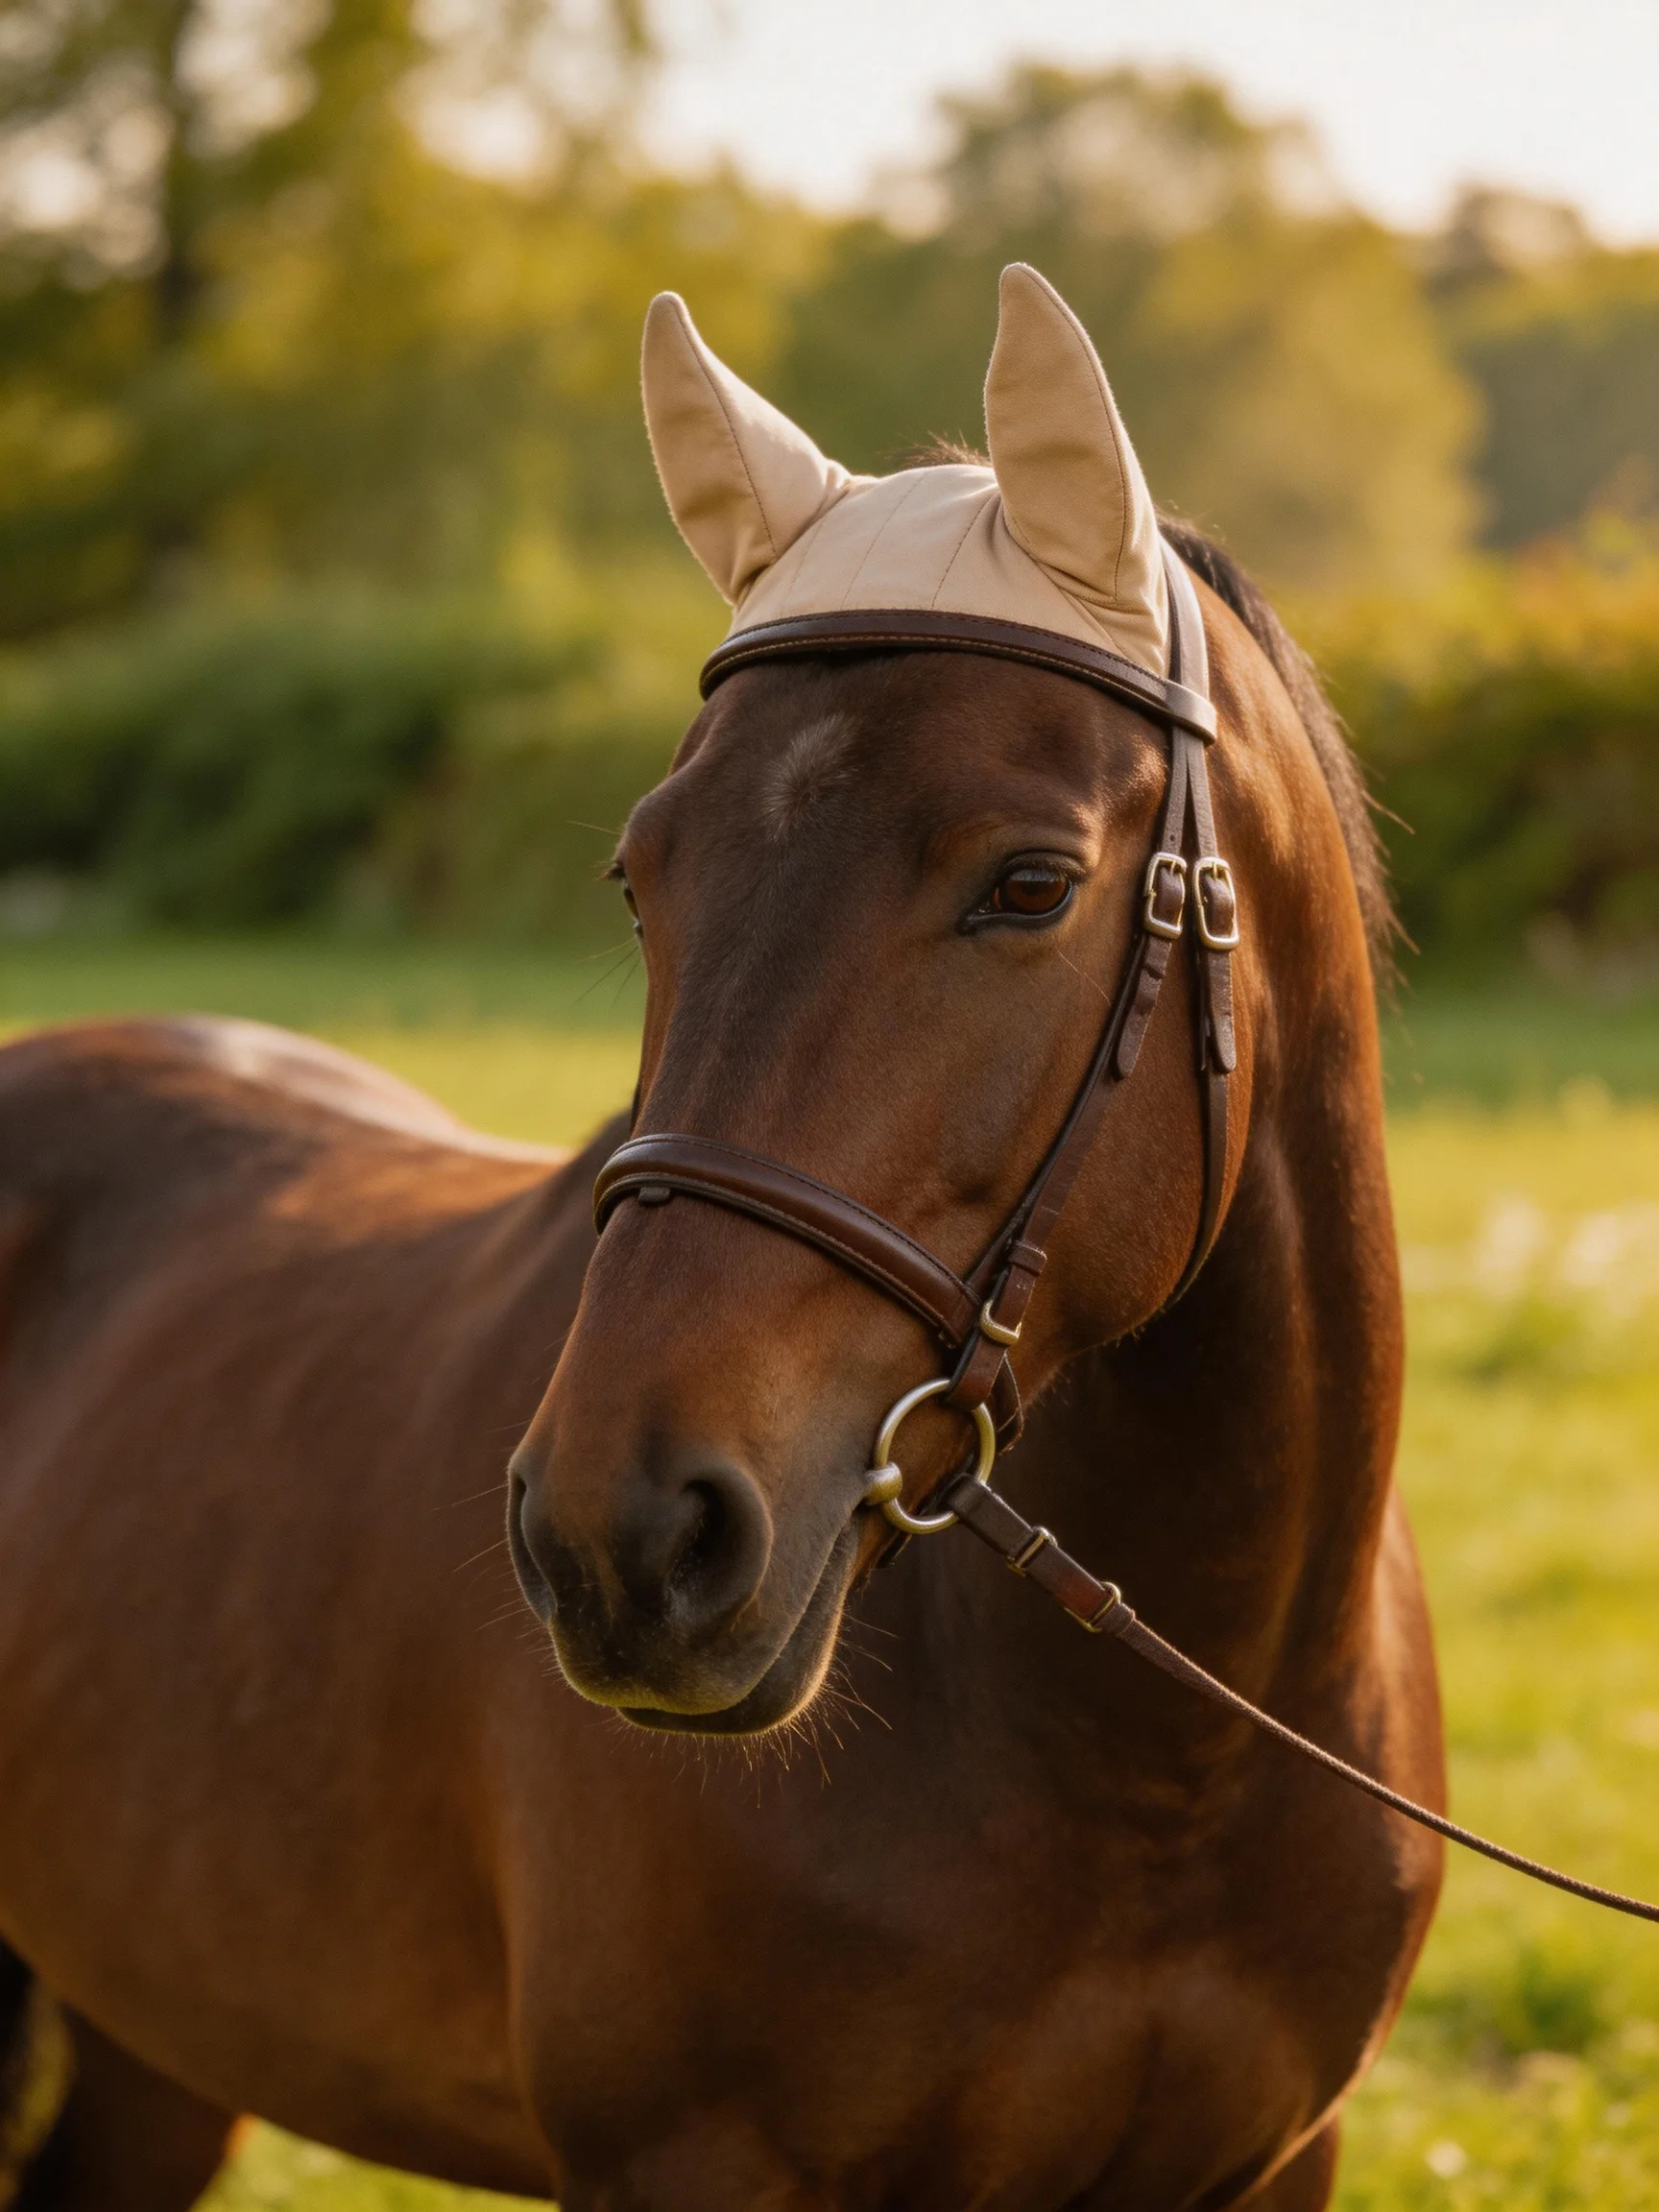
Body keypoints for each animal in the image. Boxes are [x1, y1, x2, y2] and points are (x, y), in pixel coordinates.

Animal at [0, 265, 1443, 2210]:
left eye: (1031, 885)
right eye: (639, 875)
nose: (620, 1538)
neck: (1170, 1748)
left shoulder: (1279, 2161)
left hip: (158, 2037)